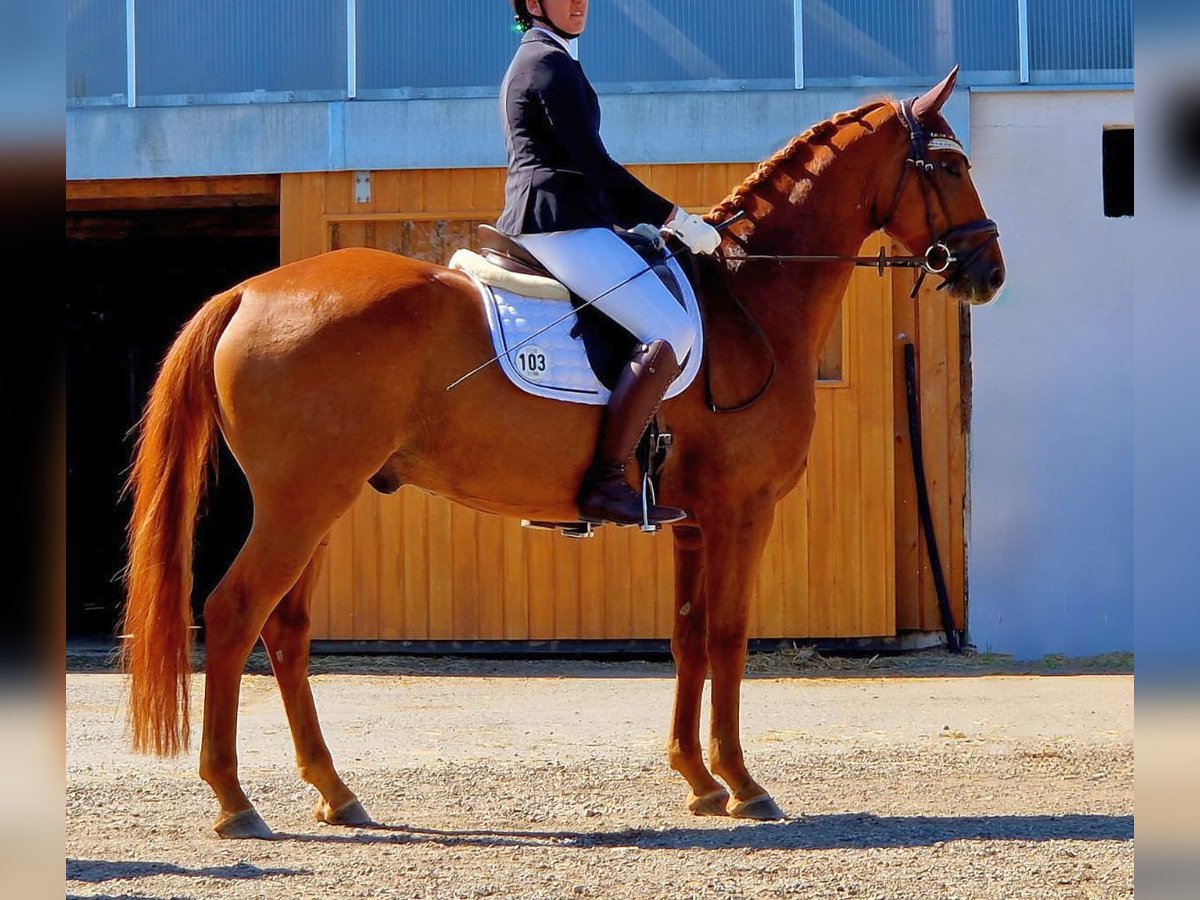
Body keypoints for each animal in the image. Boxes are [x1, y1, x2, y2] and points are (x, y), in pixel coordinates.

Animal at [120, 68, 1004, 838]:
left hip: (320, 504)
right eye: (951, 166)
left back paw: (336, 793)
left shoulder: (690, 522)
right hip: (301, 504)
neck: (750, 301)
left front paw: (697, 780)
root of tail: (248, 292)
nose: (988, 272)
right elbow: (727, 637)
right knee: (233, 613)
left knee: (287, 629)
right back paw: (234, 801)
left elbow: (686, 637)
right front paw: (744, 785)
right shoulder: (741, 512)